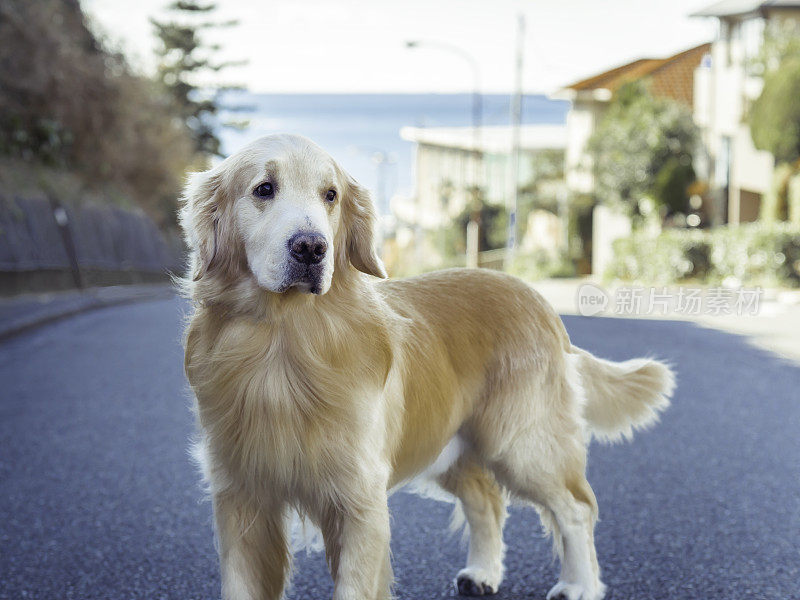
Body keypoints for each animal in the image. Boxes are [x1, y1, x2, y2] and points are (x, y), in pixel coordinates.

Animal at [178, 134, 672, 600]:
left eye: (330, 195)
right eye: (264, 188)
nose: (312, 248)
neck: (284, 341)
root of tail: (542, 303)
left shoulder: (359, 498)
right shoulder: (240, 498)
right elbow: (241, 583)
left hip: (521, 441)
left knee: (576, 507)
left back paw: (579, 584)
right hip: (451, 443)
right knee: (486, 500)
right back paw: (483, 573)